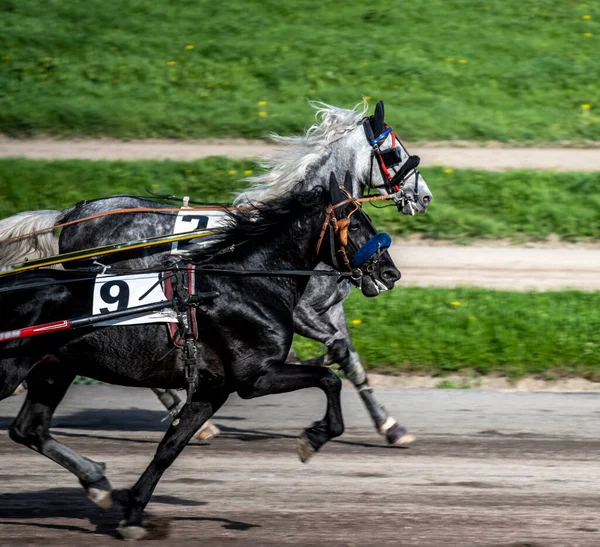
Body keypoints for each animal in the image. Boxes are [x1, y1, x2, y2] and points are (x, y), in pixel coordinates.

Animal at [1, 174, 404, 540]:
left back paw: (95, 480)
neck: (246, 282)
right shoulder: (256, 376)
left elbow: (169, 449)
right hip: (12, 371)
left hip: (52, 370)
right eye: (355, 223)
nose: (391, 272)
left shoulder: (212, 390)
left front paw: (133, 513)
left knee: (28, 429)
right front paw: (314, 438)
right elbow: (329, 379)